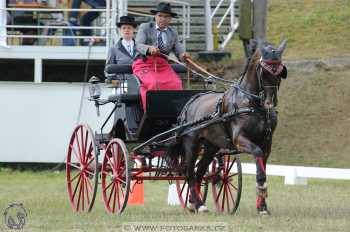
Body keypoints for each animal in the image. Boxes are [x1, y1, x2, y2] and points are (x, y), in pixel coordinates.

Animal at [170, 40, 288, 214]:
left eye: (280, 72)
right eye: (264, 72)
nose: (270, 103)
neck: (251, 103)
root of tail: (191, 102)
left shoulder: (267, 143)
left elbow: (262, 165)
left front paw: (262, 206)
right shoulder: (240, 140)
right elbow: (257, 156)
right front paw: (261, 187)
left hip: (211, 146)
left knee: (200, 172)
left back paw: (195, 203)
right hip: (192, 144)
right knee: (189, 173)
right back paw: (199, 204)